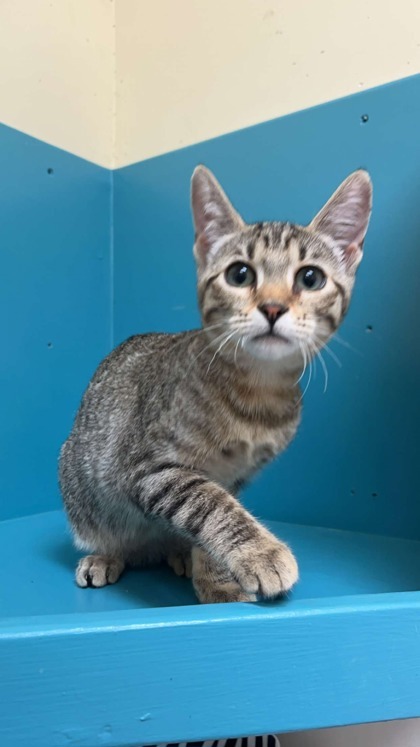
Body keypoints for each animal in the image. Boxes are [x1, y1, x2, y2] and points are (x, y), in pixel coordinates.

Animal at [59, 167, 370, 604]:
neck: (256, 392)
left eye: (311, 278)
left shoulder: (235, 478)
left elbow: (216, 512)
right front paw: (260, 553)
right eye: (240, 274)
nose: (273, 307)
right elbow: (210, 505)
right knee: (114, 535)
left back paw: (178, 553)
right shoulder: (146, 467)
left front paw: (217, 579)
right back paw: (106, 556)